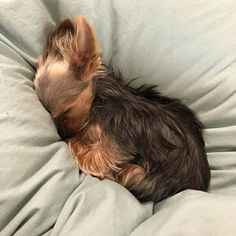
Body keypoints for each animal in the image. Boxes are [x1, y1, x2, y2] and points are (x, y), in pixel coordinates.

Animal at [33, 15, 210, 202]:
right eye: (52, 117)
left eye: (67, 111)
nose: (62, 134)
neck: (97, 102)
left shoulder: (118, 143)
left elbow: (86, 155)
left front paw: (77, 144)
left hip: (141, 177)